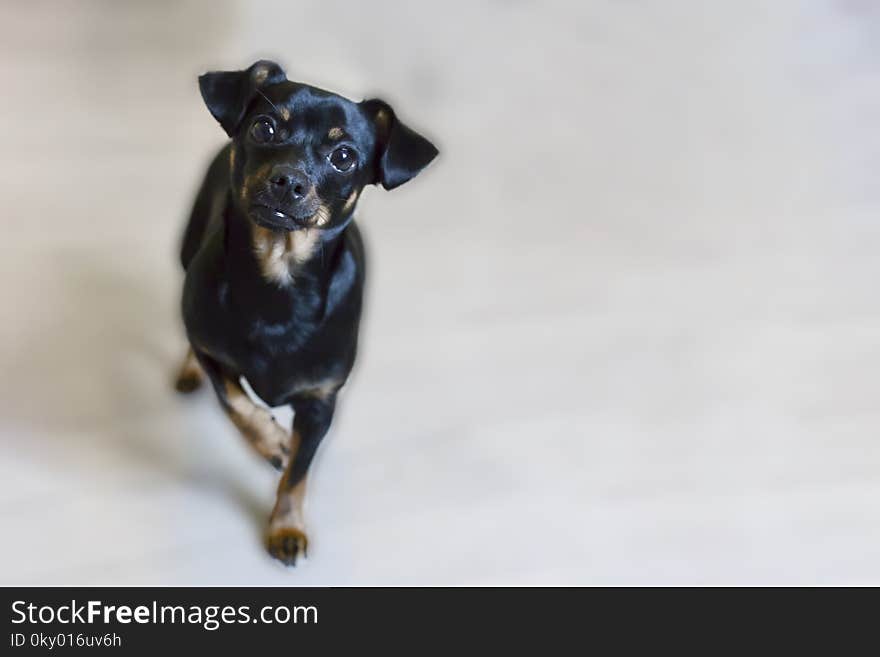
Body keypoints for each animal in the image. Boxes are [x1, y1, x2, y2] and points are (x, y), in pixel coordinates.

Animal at [174, 60, 436, 564]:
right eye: (264, 128)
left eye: (344, 157)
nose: (289, 180)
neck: (278, 283)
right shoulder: (213, 348)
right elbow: (235, 401)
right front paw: (272, 439)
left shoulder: (319, 404)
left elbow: (298, 473)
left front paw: (286, 526)